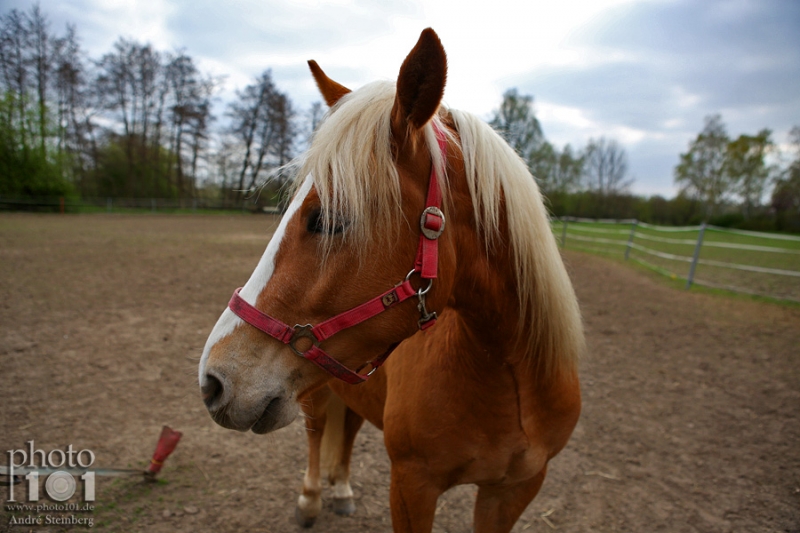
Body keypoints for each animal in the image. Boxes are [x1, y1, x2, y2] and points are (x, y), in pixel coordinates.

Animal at [199, 29, 580, 532]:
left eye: (328, 219)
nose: (213, 381)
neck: (511, 379)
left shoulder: (513, 491)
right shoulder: (412, 484)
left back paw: (341, 490)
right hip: (316, 392)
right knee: (318, 435)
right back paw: (310, 499)